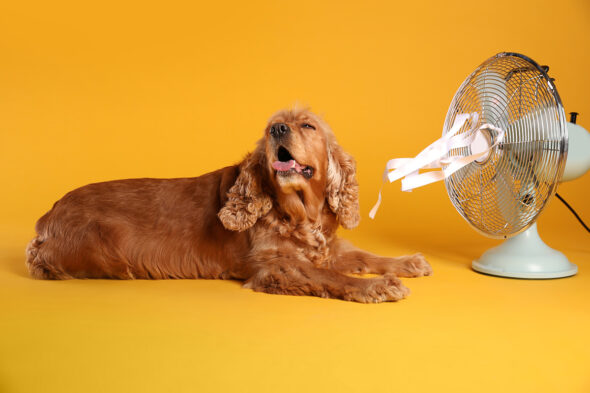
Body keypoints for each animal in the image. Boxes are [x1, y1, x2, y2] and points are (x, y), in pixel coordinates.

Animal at [25, 108, 432, 304]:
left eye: (307, 126)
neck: (299, 213)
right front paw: (376, 287)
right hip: (107, 246)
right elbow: (331, 277)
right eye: (272, 125)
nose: (277, 130)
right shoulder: (275, 267)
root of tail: (48, 214)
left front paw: (407, 263)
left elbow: (362, 255)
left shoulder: (326, 248)